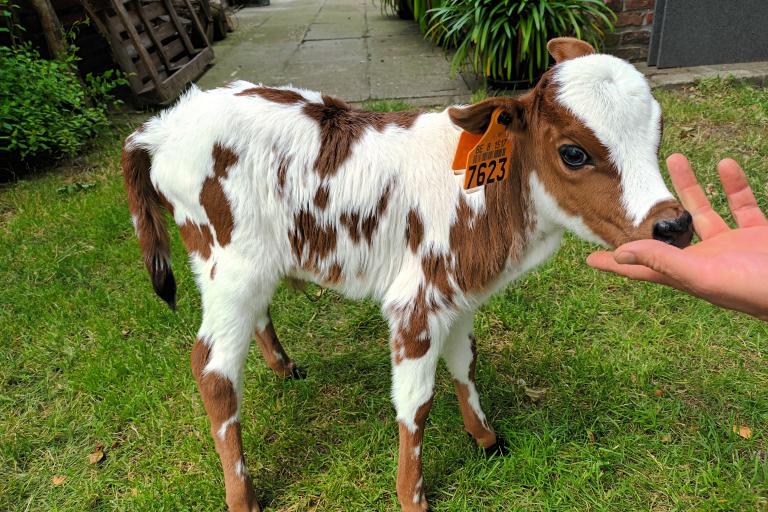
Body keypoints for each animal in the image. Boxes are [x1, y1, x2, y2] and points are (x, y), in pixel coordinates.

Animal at [121, 38, 696, 510]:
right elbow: (415, 404)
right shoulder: (415, 303)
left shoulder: (458, 295)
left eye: (657, 131)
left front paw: (486, 439)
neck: (483, 195)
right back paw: (243, 496)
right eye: (573, 153)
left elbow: (464, 364)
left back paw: (285, 367)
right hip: (227, 265)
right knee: (212, 370)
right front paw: (411, 496)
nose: (675, 224)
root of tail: (165, 124)